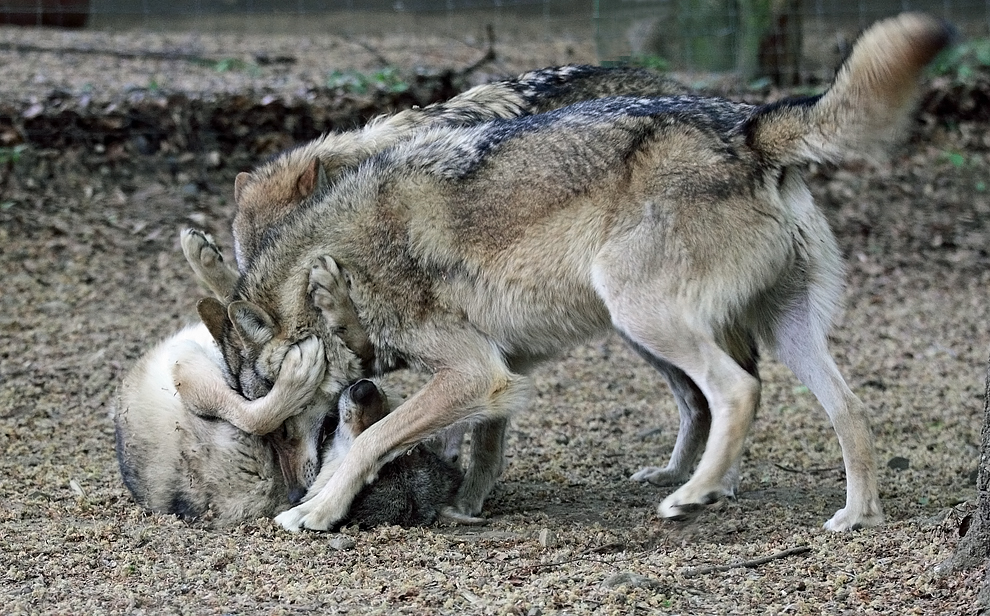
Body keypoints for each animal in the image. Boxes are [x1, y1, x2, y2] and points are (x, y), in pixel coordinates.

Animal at [200, 14, 952, 536]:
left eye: (282, 415)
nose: (289, 484)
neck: (340, 258)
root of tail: (746, 127)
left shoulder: (474, 371)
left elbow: (377, 440)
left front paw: (315, 512)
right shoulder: (502, 372)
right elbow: (476, 441)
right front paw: (468, 504)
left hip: (641, 314)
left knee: (736, 391)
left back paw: (691, 495)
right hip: (773, 332)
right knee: (846, 407)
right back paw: (854, 516)